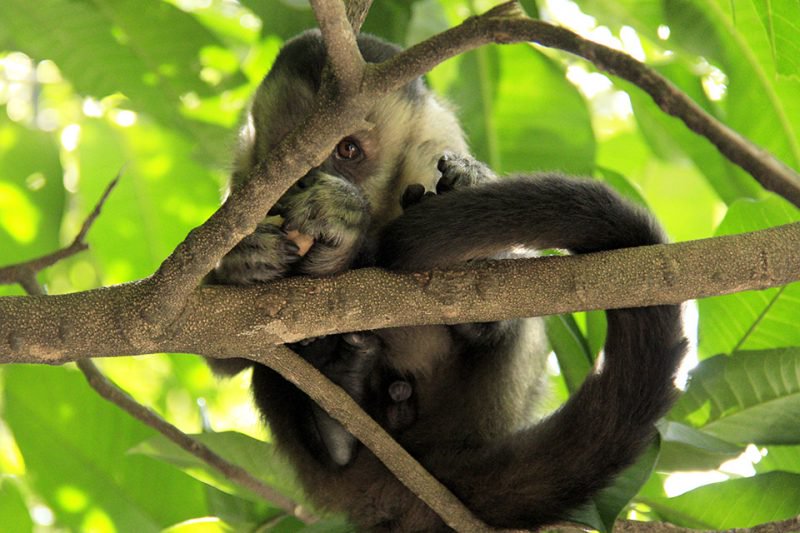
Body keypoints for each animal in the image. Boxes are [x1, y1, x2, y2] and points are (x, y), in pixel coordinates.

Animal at [206, 30, 688, 532]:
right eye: (291, 161)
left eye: (348, 151)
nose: (310, 181)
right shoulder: (243, 185)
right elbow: (227, 351)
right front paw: (244, 260)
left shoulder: (433, 147)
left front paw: (345, 223)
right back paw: (334, 421)